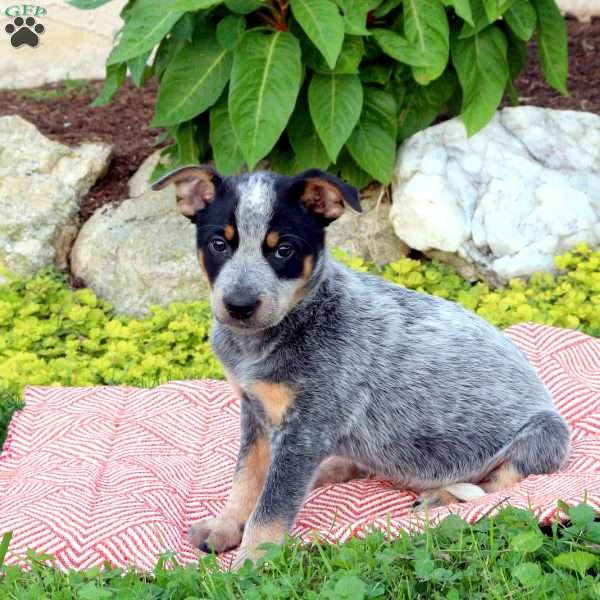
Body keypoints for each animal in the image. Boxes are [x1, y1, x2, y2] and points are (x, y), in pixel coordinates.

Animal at [152, 165, 568, 568]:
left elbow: (270, 508)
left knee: (494, 482)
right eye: (218, 244)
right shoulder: (255, 413)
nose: (239, 305)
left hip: (548, 433)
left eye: (284, 249)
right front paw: (225, 526)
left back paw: (441, 494)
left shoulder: (306, 428)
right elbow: (245, 480)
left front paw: (251, 563)